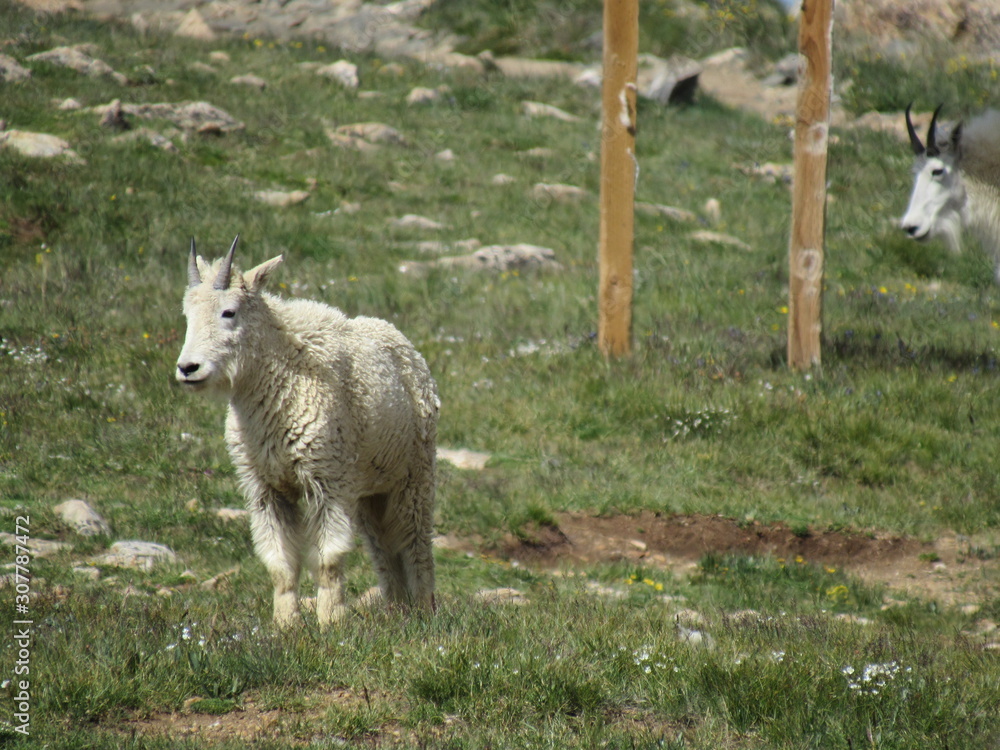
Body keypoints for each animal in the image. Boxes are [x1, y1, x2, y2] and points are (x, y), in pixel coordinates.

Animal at [176, 236, 439, 628]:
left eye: (229, 312)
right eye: (187, 315)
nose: (188, 368)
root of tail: (405, 345)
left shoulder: (327, 480)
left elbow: (328, 558)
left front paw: (331, 621)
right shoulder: (265, 487)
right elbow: (279, 563)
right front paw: (285, 625)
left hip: (414, 475)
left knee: (414, 540)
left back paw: (423, 609)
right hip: (369, 489)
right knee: (382, 545)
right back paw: (396, 609)